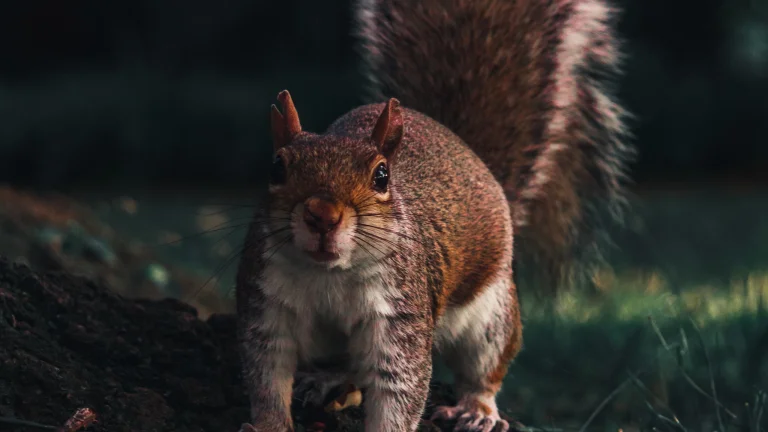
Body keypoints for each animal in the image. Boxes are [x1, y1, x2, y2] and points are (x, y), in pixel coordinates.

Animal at [235, 0, 632, 431]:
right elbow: (266, 375)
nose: (322, 215)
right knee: (350, 367)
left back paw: (476, 409)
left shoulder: (401, 312)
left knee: (484, 368)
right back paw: (330, 378)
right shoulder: (265, 302)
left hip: (492, 315)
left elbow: (400, 385)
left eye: (381, 175)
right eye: (276, 167)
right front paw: (269, 423)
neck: (328, 274)